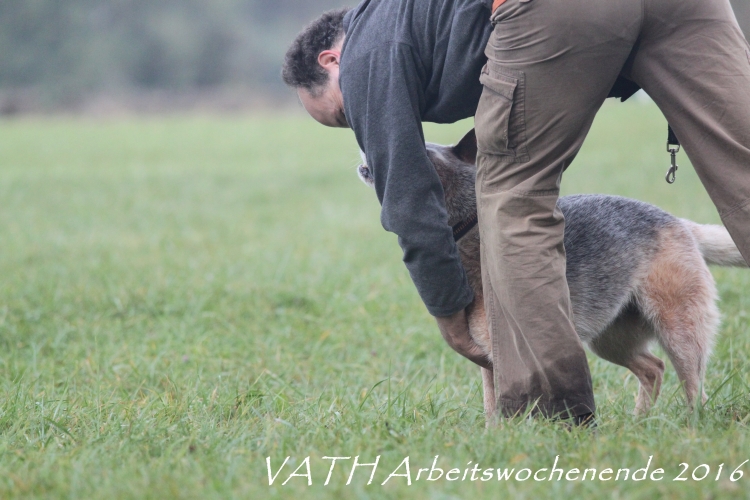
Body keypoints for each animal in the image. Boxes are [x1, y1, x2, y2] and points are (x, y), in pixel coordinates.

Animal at [357, 129, 747, 420]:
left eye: (421, 150)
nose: (365, 154)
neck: (467, 226)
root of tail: (680, 224)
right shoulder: (487, 357)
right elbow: (490, 406)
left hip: (677, 327)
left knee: (693, 382)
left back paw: (692, 424)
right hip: (610, 338)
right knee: (653, 368)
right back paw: (640, 422)